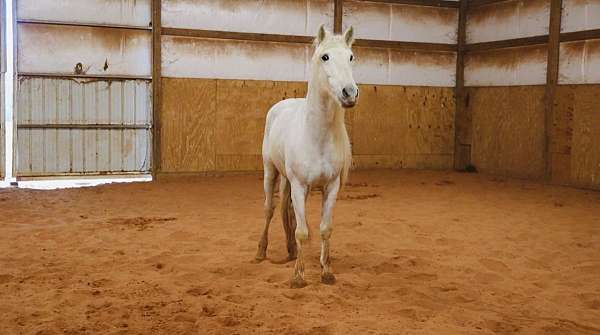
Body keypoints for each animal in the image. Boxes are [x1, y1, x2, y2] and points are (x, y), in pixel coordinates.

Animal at [253, 25, 356, 288]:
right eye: (325, 57)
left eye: (351, 57)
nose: (349, 93)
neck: (316, 136)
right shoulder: (299, 185)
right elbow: (302, 231)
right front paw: (298, 277)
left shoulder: (331, 187)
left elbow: (324, 228)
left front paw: (326, 271)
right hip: (271, 172)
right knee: (269, 209)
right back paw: (260, 252)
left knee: (287, 211)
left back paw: (291, 250)